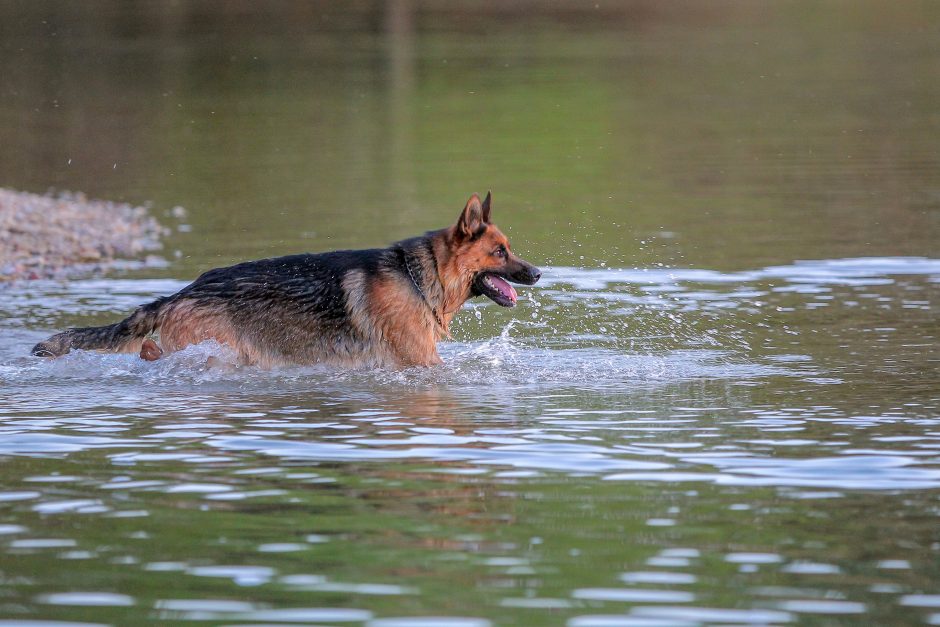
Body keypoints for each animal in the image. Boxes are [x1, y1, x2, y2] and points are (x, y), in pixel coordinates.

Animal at [33, 191, 540, 368]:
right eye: (500, 252)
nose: (537, 273)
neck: (419, 275)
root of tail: (184, 291)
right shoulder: (420, 364)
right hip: (213, 348)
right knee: (153, 352)